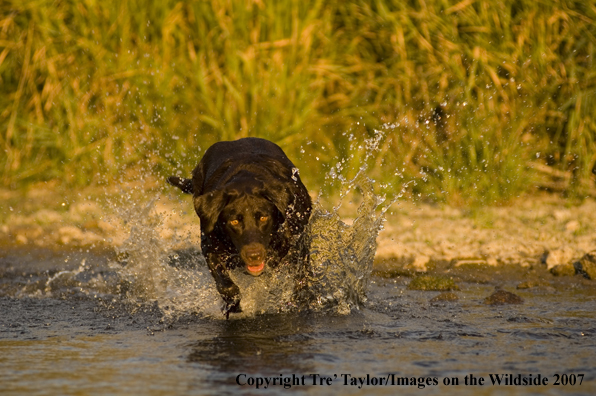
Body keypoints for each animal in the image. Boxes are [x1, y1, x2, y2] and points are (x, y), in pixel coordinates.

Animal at [168, 138, 312, 318]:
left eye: (263, 217)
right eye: (234, 221)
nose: (254, 256)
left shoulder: (297, 245)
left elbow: (301, 279)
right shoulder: (209, 246)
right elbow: (225, 284)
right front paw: (233, 305)